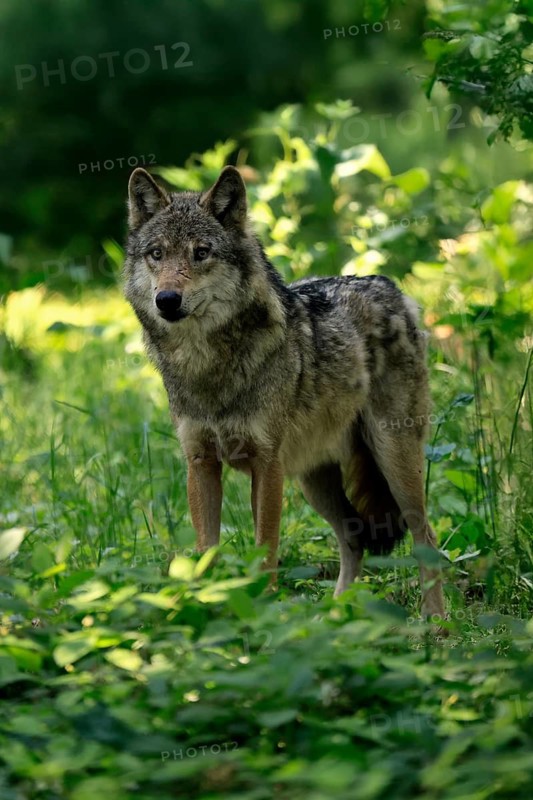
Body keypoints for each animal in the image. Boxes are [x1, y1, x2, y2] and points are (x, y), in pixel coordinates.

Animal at [124, 165, 445, 618]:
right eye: (156, 254)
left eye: (201, 252)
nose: (167, 299)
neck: (207, 366)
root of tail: (390, 287)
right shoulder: (201, 463)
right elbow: (206, 553)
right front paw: (206, 614)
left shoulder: (267, 464)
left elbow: (265, 551)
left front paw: (262, 611)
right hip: (315, 481)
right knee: (354, 539)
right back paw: (335, 616)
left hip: (394, 460)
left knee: (426, 538)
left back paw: (436, 622)